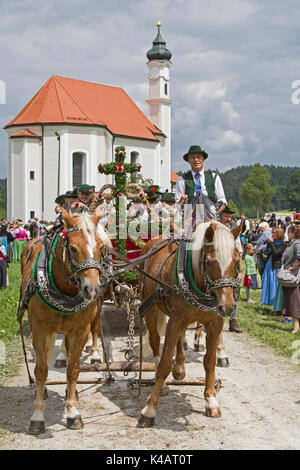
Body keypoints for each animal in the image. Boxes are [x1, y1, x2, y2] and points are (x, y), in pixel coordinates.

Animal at [20, 207, 111, 436]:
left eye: (101, 247)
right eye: (72, 248)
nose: (92, 288)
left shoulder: (79, 330)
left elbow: (73, 369)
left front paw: (73, 412)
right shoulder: (40, 329)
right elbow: (41, 370)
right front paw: (37, 416)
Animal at [139, 220, 241, 426]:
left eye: (236, 262)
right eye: (209, 262)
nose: (227, 307)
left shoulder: (215, 323)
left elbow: (209, 361)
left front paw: (211, 400)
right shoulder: (175, 320)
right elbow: (164, 364)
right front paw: (149, 409)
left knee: (180, 337)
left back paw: (179, 367)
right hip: (150, 307)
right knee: (155, 341)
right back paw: (162, 382)